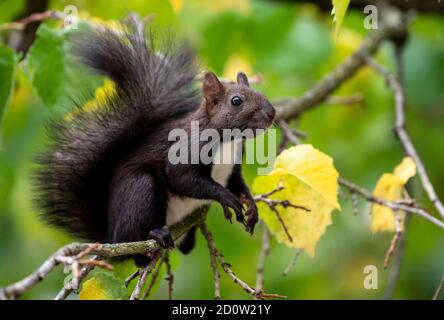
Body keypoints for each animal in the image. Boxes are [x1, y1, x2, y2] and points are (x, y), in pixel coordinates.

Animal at [33, 15, 274, 264]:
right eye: (236, 101)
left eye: (262, 94)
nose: (272, 113)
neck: (228, 141)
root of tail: (110, 237)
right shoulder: (187, 150)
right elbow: (182, 177)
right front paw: (225, 197)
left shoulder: (232, 167)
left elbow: (238, 184)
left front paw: (251, 206)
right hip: (140, 189)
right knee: (135, 243)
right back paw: (154, 235)